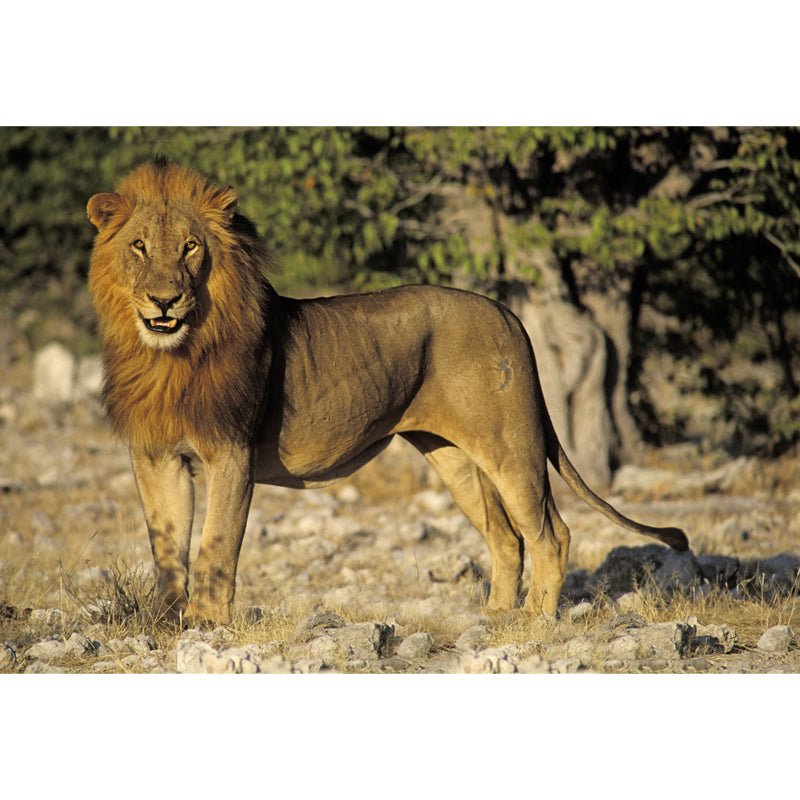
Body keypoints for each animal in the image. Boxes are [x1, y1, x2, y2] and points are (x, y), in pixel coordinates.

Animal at [87, 158, 688, 626]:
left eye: (191, 248)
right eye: (139, 247)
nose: (164, 300)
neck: (169, 358)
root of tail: (506, 312)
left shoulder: (231, 451)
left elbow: (215, 546)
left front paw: (207, 625)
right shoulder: (156, 456)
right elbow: (167, 549)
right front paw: (167, 623)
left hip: (510, 445)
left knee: (550, 534)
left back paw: (535, 621)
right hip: (455, 458)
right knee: (507, 537)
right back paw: (495, 616)